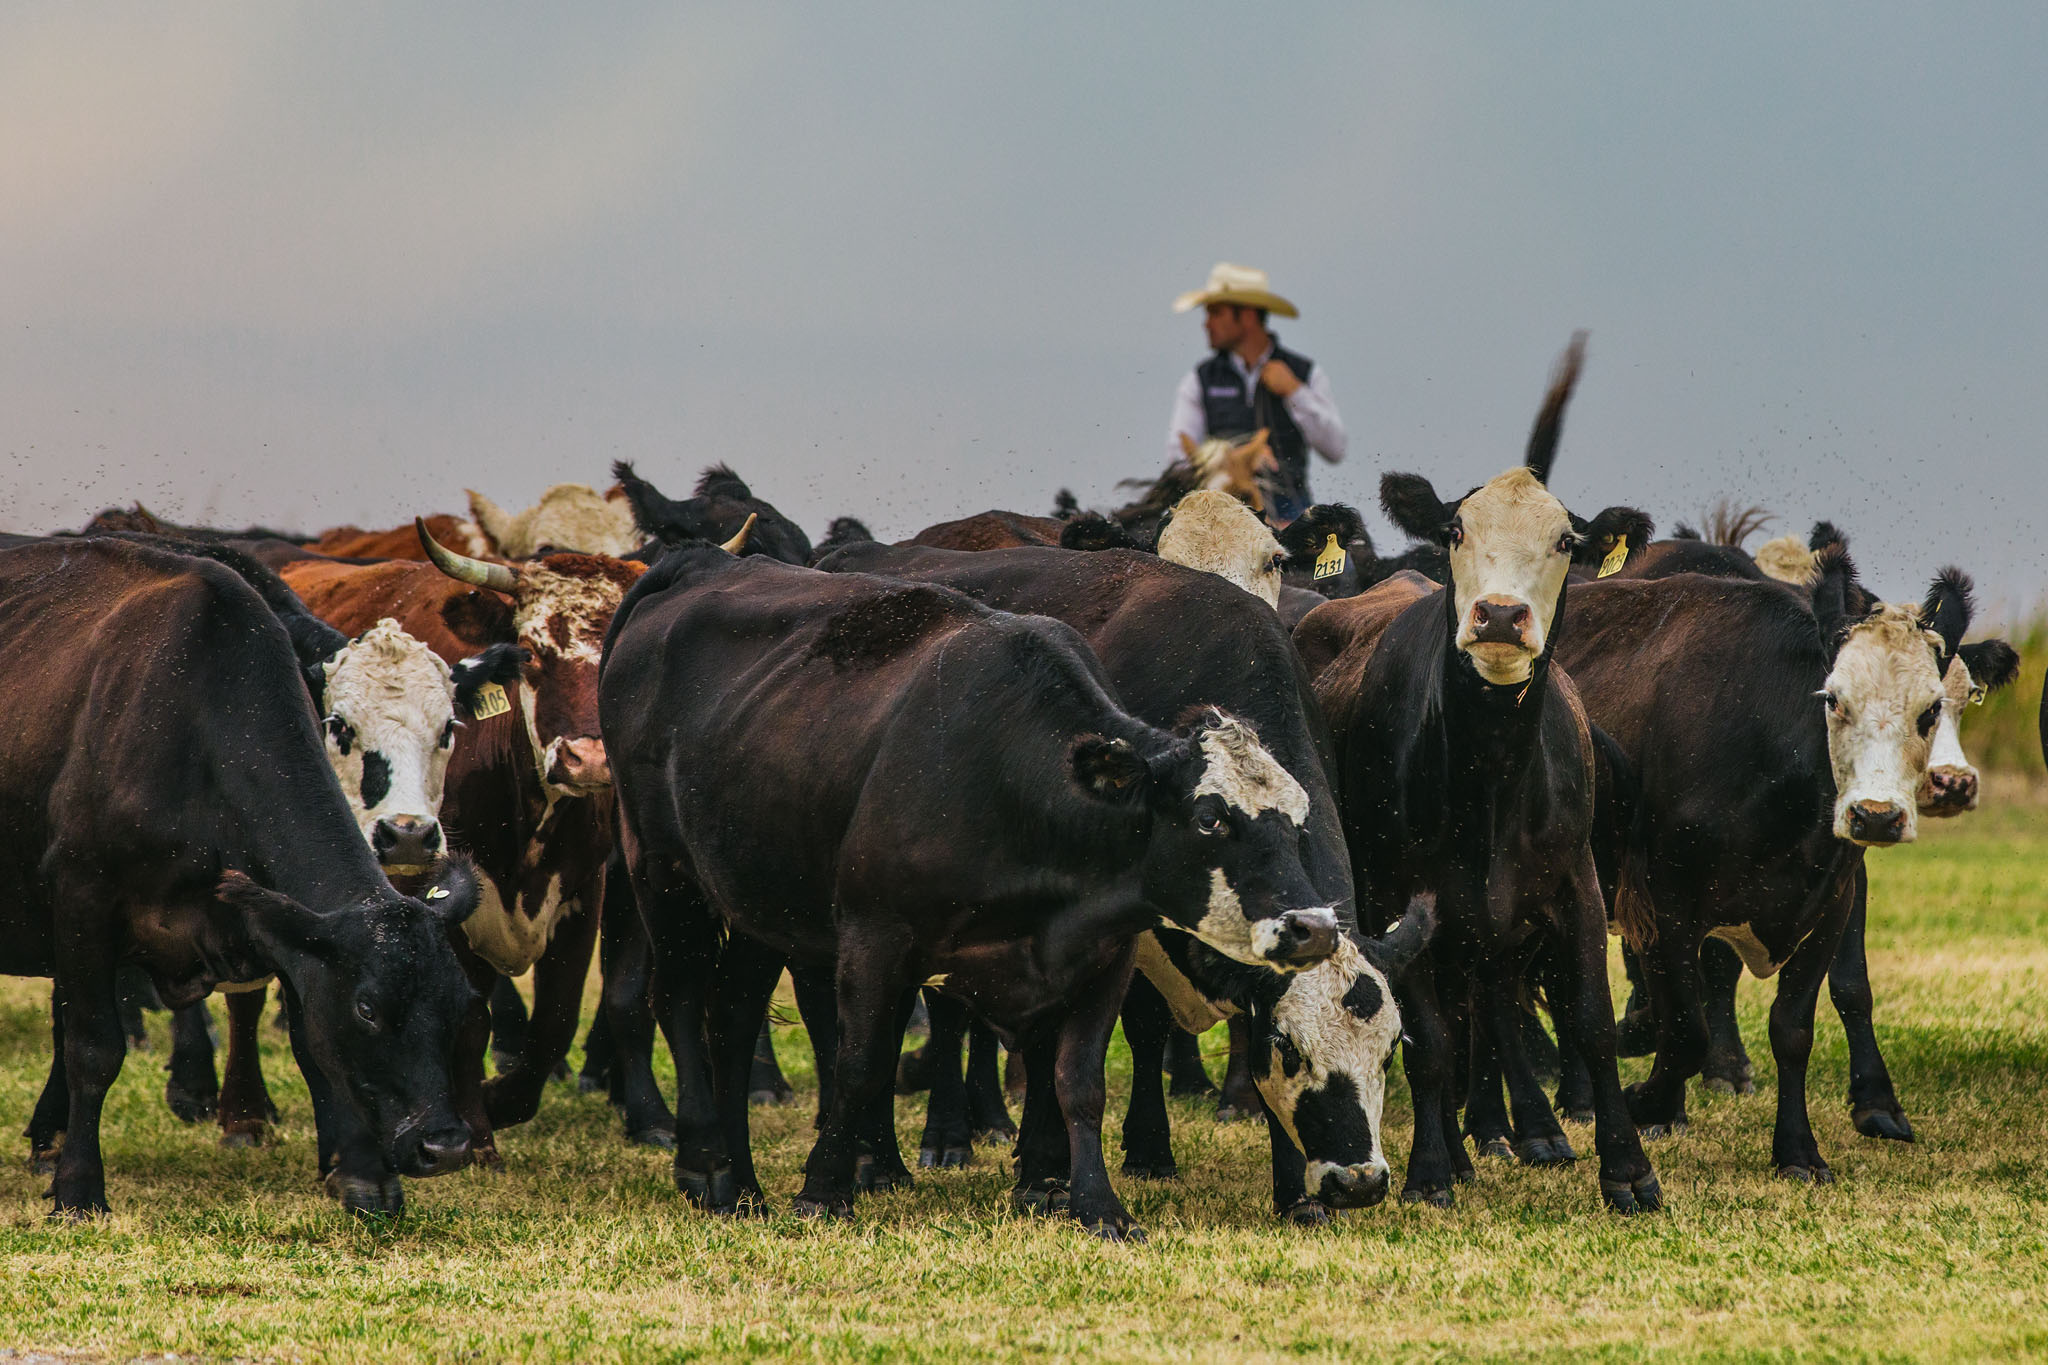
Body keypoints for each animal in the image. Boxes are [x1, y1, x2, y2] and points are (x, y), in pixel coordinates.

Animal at [0, 538, 480, 1216]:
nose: (445, 1146)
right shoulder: (82, 900)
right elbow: (93, 1049)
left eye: (460, 1000)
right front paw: (78, 1188)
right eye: (367, 1008)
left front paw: (362, 1174)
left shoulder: (279, 923)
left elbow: (309, 1041)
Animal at [276, 525, 652, 1161]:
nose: (591, 759)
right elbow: (471, 1020)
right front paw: (477, 1137)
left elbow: (555, 1023)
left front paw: (501, 1103)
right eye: (533, 653)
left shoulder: (584, 891)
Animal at [603, 545, 1344, 1238]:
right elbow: (860, 1063)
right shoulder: (875, 936)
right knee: (679, 1000)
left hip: (757, 903)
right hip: (663, 875)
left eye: (1299, 815)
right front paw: (823, 1190)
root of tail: (701, 562)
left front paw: (1095, 1205)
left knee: (729, 1020)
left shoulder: (1104, 954)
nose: (1313, 926)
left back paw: (744, 1185)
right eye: (1210, 817)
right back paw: (706, 1164)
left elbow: (1079, 1082)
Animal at [816, 539, 1423, 1222]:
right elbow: (1142, 1031)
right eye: (1289, 1046)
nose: (1360, 1181)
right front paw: (1144, 1151)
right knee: (924, 1021)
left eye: (1391, 1047)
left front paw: (1294, 1194)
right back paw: (919, 1148)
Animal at [1293, 334, 1664, 1214]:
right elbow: (1426, 1037)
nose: (1498, 614)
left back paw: (1526, 1128)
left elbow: (1591, 1021)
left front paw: (1628, 1168)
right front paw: (1432, 1168)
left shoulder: (1575, 882)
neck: (1489, 776)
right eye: (1457, 527)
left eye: (1565, 542)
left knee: (1495, 1007)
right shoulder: (1401, 892)